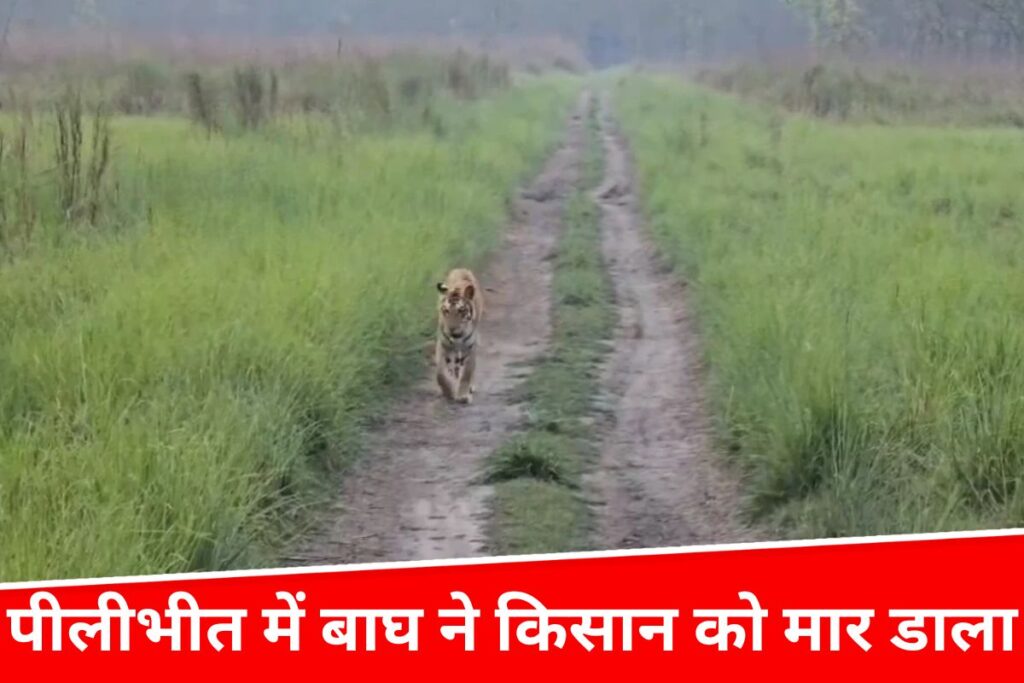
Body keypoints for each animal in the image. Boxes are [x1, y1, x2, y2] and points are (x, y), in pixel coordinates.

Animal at [435, 268, 484, 404]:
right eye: (446, 311)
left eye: (461, 311)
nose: (452, 328)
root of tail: (461, 268)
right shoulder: (443, 345)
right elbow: (440, 374)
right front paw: (449, 391)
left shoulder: (470, 347)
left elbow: (467, 373)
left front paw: (462, 395)